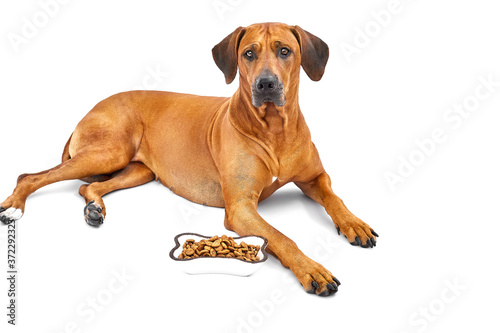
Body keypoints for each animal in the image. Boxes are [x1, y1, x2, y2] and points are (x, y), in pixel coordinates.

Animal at [0, 22, 376, 294]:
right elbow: (282, 236)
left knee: (84, 188)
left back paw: (95, 207)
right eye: (248, 54)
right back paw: (14, 206)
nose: (266, 85)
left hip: (139, 171)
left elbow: (335, 198)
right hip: (108, 152)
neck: (274, 129)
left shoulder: (314, 178)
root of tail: (91, 108)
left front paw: (354, 223)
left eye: (285, 51)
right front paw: (312, 269)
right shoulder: (240, 208)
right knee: (30, 176)